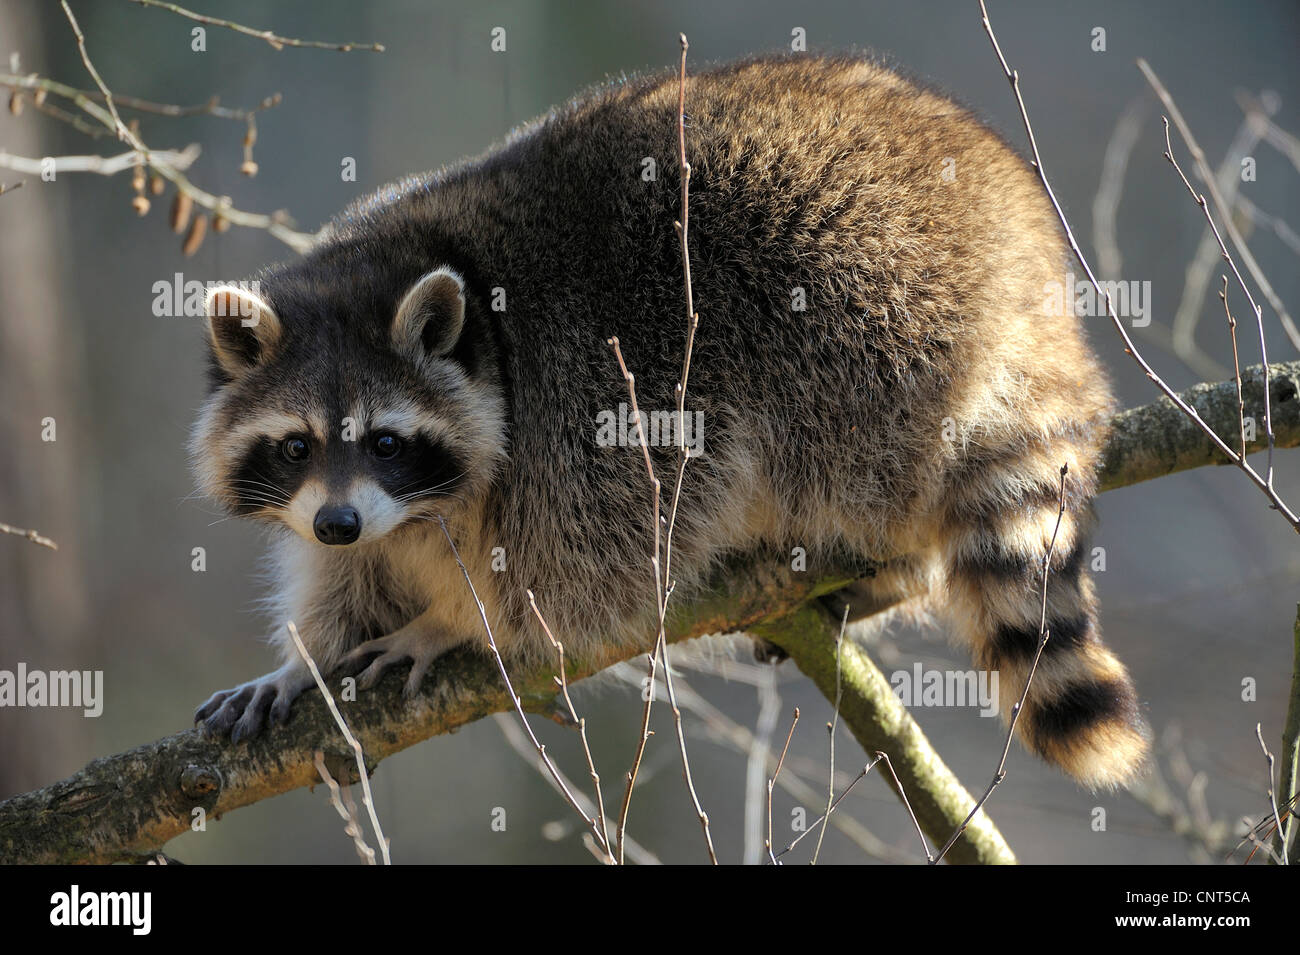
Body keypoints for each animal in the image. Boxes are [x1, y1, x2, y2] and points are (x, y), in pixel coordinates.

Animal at [191, 53, 1150, 788]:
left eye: (388, 441)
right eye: (296, 444)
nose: (338, 520)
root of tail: (1024, 248)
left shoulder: (582, 417)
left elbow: (583, 585)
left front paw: (458, 623)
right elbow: (348, 578)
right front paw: (304, 657)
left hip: (872, 310)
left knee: (858, 469)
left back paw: (894, 560)